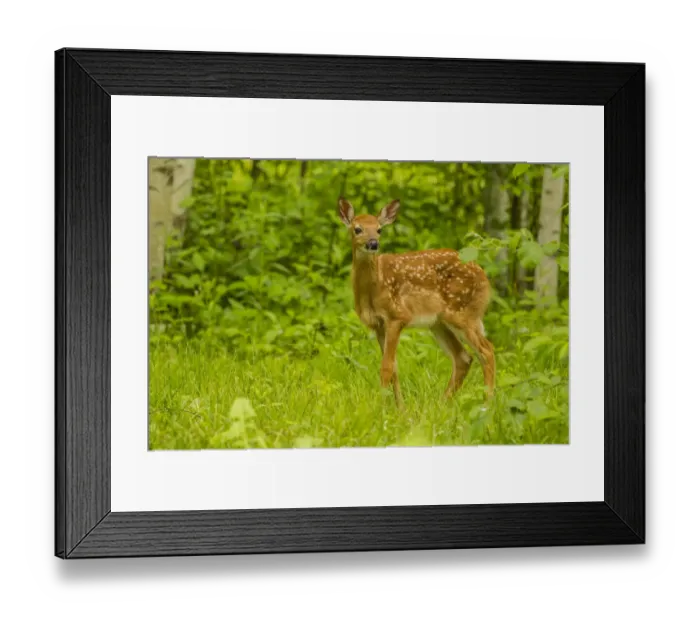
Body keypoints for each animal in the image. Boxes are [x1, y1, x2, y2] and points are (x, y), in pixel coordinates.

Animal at [337, 197, 495, 408]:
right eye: (357, 229)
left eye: (379, 230)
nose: (373, 244)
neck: (374, 286)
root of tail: (485, 277)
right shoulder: (378, 325)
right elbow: (394, 368)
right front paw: (400, 409)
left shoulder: (397, 315)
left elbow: (386, 367)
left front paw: (381, 407)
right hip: (439, 323)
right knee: (463, 357)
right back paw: (441, 404)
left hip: (463, 313)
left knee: (487, 351)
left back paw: (487, 405)